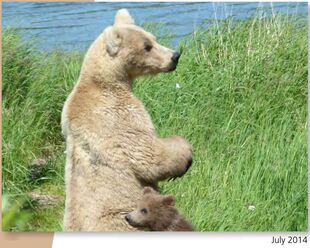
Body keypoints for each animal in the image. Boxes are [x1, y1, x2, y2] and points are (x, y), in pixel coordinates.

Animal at [60, 8, 193, 232]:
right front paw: (185, 152)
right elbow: (146, 152)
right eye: (147, 46)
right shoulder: (115, 111)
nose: (175, 56)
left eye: (153, 38)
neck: (106, 80)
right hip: (125, 220)